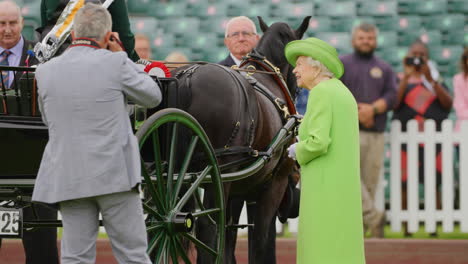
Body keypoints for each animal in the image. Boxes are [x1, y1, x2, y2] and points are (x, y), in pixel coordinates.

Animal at [172, 17, 310, 264]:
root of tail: (187, 78)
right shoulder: (274, 184)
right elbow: (261, 241)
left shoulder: (239, 190)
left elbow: (230, 240)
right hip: (217, 175)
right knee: (207, 227)